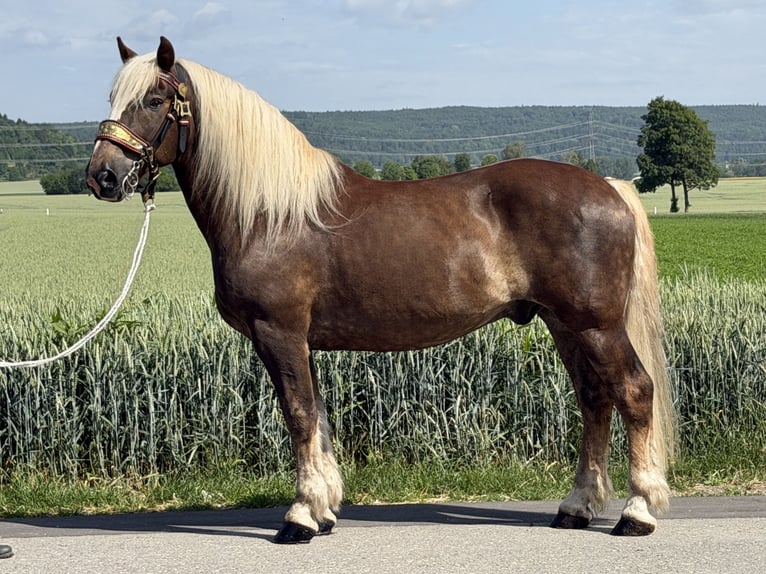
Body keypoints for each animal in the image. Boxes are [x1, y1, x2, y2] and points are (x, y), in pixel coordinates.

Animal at [86, 36, 674, 544]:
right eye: (112, 97)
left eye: (155, 99)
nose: (102, 177)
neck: (269, 215)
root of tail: (608, 186)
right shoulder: (300, 341)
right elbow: (318, 415)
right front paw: (324, 510)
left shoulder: (278, 332)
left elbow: (298, 414)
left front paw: (300, 516)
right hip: (564, 325)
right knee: (595, 399)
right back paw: (577, 507)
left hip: (595, 326)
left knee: (634, 392)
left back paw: (637, 511)